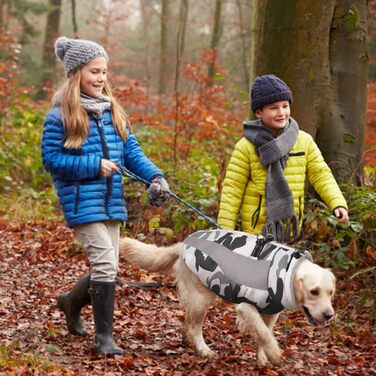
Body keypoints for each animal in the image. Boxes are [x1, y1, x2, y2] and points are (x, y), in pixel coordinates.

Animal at [119, 228, 334, 366]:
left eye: (330, 292)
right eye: (314, 291)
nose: (329, 315)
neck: (287, 272)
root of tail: (183, 244)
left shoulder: (271, 314)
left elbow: (265, 334)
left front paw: (263, 359)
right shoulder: (246, 307)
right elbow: (264, 333)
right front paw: (274, 354)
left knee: (188, 324)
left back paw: (188, 342)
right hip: (202, 298)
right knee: (195, 328)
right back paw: (203, 350)